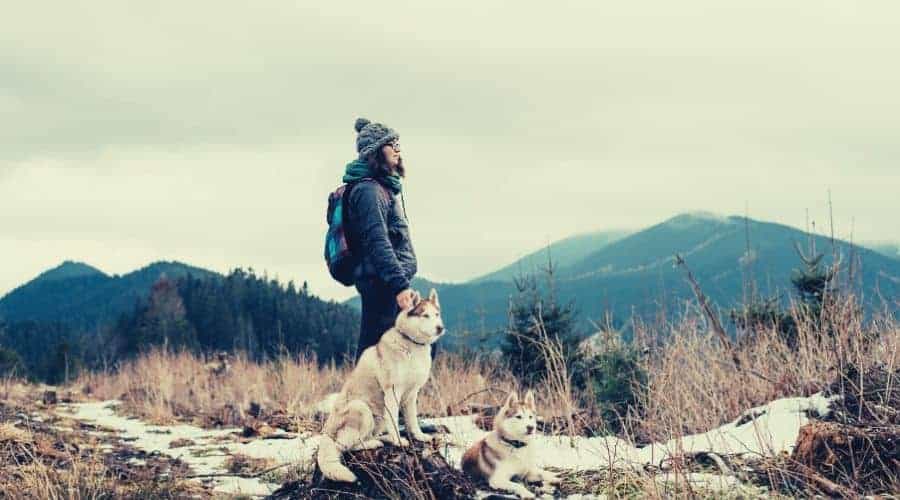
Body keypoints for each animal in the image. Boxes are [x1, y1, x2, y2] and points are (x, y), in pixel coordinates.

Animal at [316, 288, 446, 482]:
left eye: (437, 314)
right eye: (425, 315)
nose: (440, 328)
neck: (412, 344)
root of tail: (326, 433)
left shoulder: (412, 395)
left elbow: (412, 420)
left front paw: (419, 436)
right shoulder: (393, 392)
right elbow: (395, 422)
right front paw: (399, 441)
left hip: (377, 419)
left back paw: (384, 438)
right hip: (361, 409)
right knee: (347, 446)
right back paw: (375, 442)